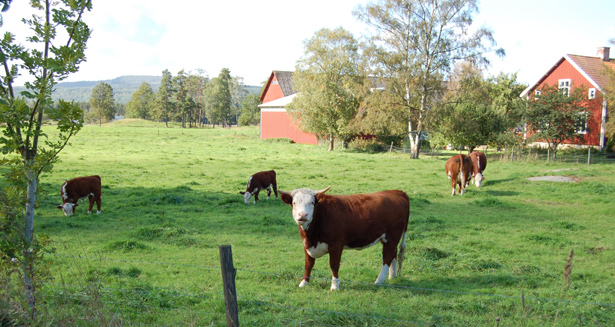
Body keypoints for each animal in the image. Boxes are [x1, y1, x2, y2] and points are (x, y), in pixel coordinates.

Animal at [280, 187, 410, 292]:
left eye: (312, 202)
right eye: (294, 203)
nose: (303, 215)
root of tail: (397, 192)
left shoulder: (336, 245)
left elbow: (334, 265)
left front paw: (334, 286)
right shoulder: (307, 245)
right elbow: (308, 264)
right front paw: (304, 282)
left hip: (392, 236)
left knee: (387, 257)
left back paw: (379, 281)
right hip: (390, 239)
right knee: (393, 254)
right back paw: (392, 276)